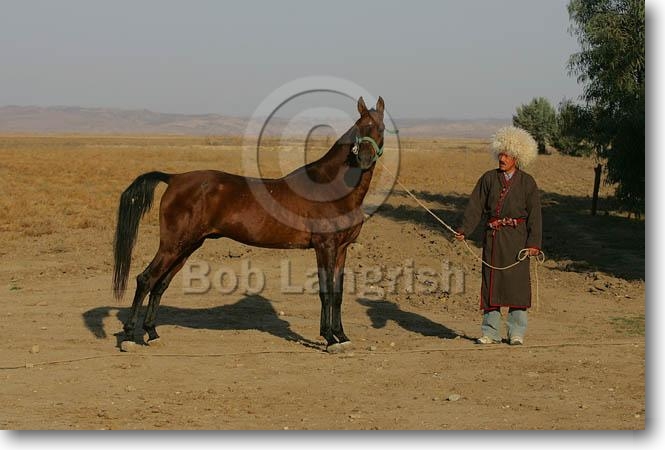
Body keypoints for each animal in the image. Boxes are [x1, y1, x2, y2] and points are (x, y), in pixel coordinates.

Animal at [112, 96, 386, 352]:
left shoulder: (341, 249)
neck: (331, 189)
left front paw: (341, 337)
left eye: (381, 128)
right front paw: (329, 338)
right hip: (172, 245)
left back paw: (152, 333)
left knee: (160, 284)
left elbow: (337, 294)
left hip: (187, 246)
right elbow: (325, 291)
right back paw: (130, 337)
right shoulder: (324, 246)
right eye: (359, 126)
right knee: (146, 279)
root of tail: (174, 178)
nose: (364, 158)